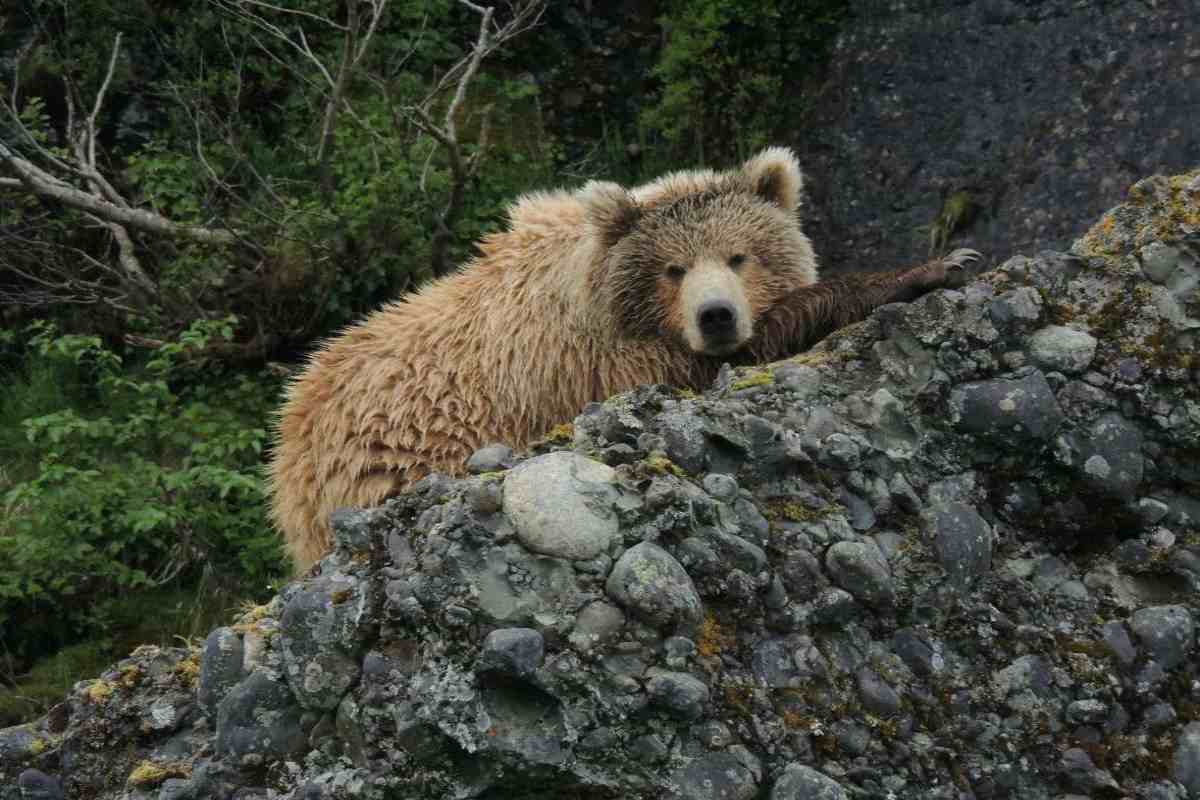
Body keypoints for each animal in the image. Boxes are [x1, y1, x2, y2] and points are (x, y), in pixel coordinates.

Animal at [269, 147, 977, 571]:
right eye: (674, 268)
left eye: (739, 255)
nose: (716, 315)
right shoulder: (602, 362)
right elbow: (741, 352)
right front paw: (931, 267)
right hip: (391, 457)